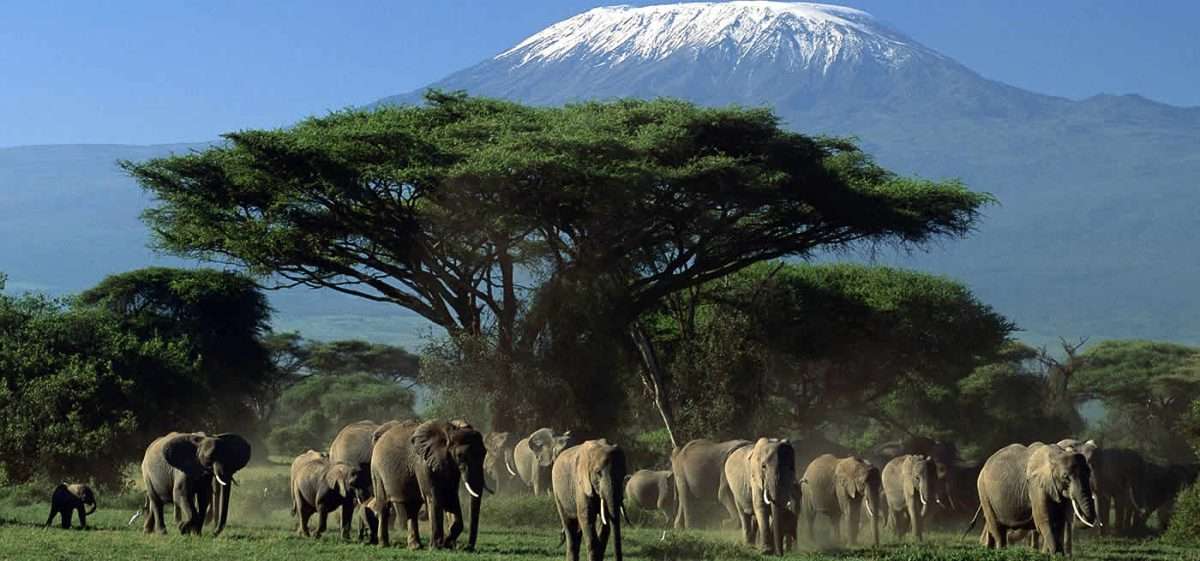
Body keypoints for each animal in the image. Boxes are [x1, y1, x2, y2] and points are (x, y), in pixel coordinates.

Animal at [371, 418, 487, 550]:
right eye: (460, 456)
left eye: (485, 453)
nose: (468, 547)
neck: (449, 433)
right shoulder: (423, 464)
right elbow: (434, 497)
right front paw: (436, 547)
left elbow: (451, 497)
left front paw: (447, 543)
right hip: (377, 471)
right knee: (384, 505)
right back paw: (383, 545)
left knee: (412, 508)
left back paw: (415, 547)